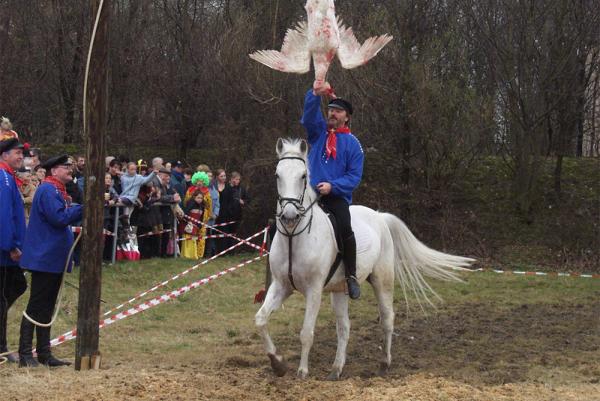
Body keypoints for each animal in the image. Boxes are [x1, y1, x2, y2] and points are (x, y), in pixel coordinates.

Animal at [255, 138, 476, 378]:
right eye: (277, 175)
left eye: (303, 176)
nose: (289, 216)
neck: (294, 238)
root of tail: (380, 216)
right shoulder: (281, 286)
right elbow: (261, 320)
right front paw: (277, 363)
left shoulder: (314, 290)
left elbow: (306, 332)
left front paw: (302, 371)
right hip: (339, 290)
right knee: (344, 327)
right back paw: (336, 369)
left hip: (382, 280)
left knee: (387, 319)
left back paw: (384, 363)